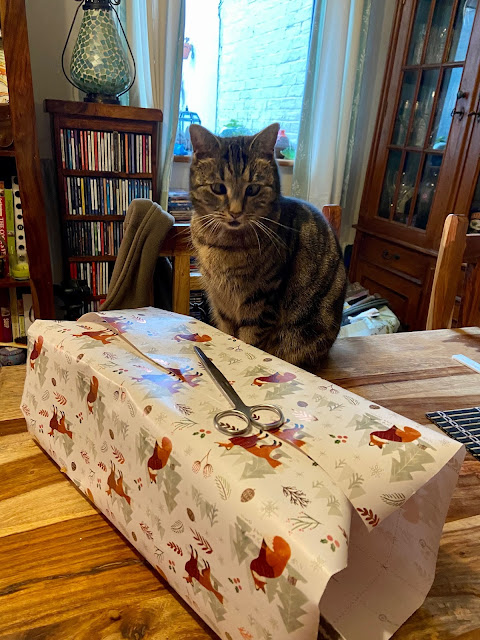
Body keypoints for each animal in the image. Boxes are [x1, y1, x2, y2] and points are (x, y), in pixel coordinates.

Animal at [188, 123, 344, 370]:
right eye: (218, 188)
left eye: (253, 189)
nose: (235, 212)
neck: (223, 243)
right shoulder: (221, 305)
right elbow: (227, 333)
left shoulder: (262, 300)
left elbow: (249, 340)